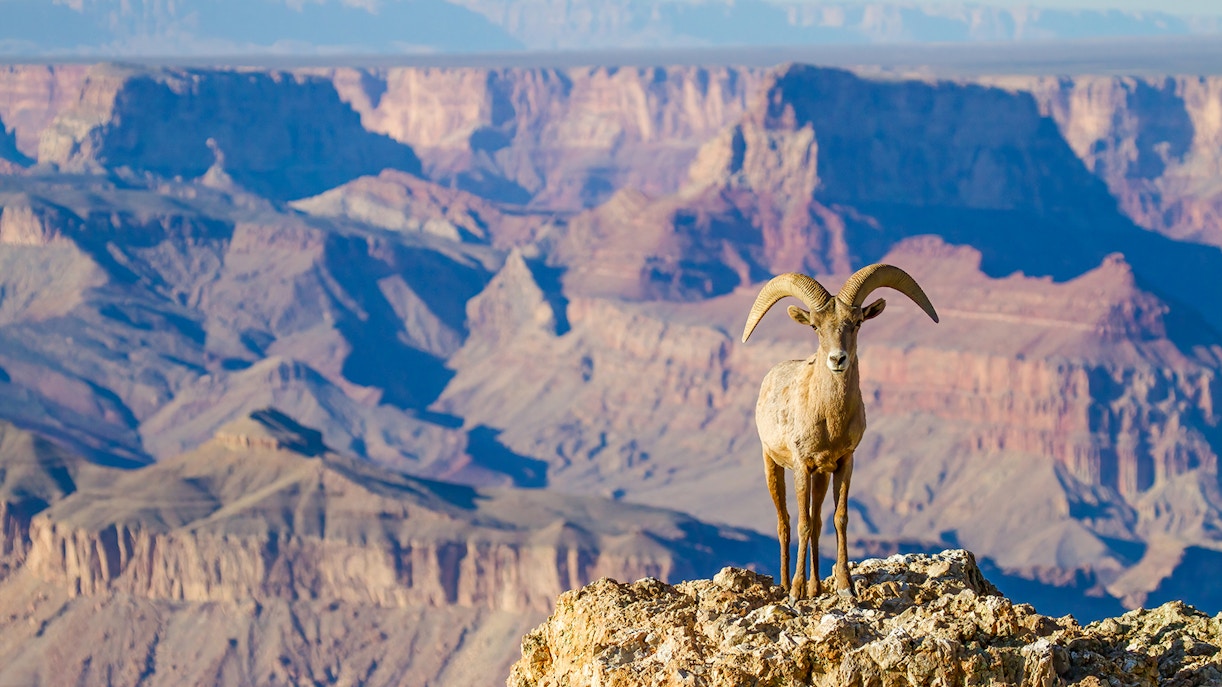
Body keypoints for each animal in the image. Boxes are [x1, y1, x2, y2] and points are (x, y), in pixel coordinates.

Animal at [741, 265, 938, 600]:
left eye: (857, 322)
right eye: (815, 327)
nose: (837, 359)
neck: (829, 420)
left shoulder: (844, 462)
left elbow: (838, 519)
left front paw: (845, 587)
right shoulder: (801, 466)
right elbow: (803, 523)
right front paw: (796, 593)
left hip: (821, 476)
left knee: (818, 521)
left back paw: (816, 586)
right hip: (773, 465)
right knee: (785, 523)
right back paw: (786, 585)